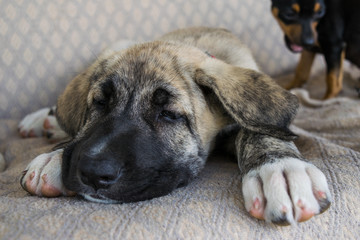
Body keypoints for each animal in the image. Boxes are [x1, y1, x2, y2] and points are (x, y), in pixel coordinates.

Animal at [18, 27, 330, 226]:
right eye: (100, 103)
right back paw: (42, 119)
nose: (93, 173)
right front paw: (55, 156)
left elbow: (258, 126)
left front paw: (281, 168)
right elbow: (78, 133)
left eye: (169, 115)